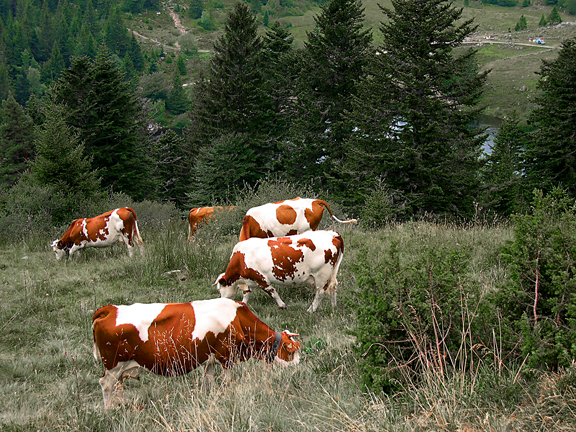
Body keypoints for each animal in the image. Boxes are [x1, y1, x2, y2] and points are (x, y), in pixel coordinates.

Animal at [92, 296, 300, 408]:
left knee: (117, 385)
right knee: (106, 384)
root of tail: (110, 310)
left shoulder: (210, 359)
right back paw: (110, 411)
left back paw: (121, 405)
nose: (298, 370)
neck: (238, 317)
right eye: (291, 352)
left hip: (120, 369)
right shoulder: (226, 357)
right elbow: (227, 381)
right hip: (114, 365)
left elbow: (207, 381)